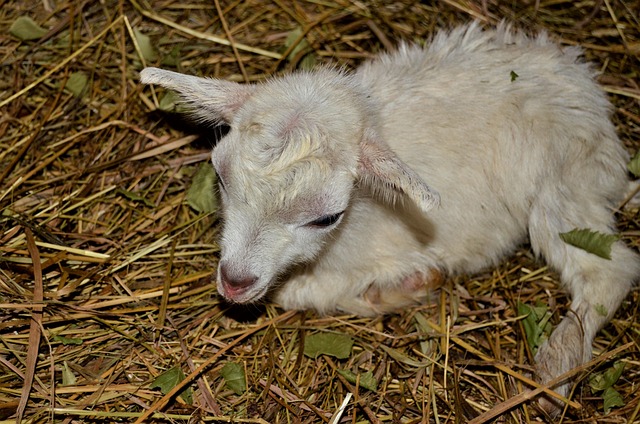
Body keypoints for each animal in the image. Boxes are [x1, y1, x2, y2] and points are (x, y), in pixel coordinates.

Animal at [140, 22, 639, 412]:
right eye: (221, 178)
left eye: (326, 218)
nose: (235, 281)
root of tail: (581, 79)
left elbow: (296, 292)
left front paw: (403, 288)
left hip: (564, 183)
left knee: (610, 269)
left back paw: (559, 365)